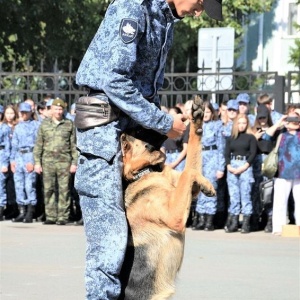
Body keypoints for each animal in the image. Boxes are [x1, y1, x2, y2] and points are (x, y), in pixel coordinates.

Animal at [118, 96, 214, 300]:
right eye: (140, 129)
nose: (176, 116)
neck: (145, 172)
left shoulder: (186, 189)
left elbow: (192, 163)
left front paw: (197, 119)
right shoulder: (174, 214)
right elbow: (188, 171)